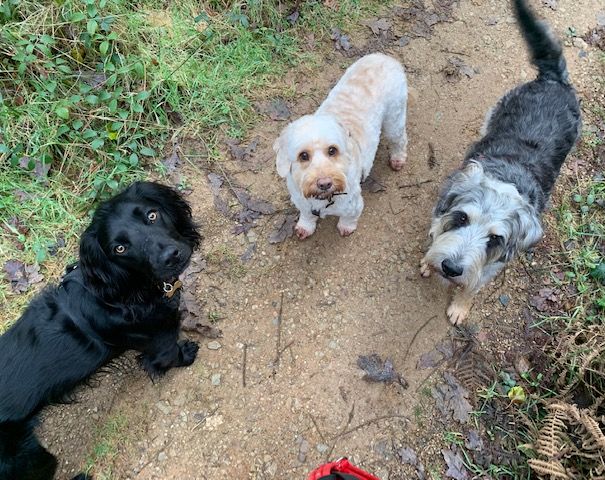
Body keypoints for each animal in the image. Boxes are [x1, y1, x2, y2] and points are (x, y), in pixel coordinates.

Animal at [0, 182, 203, 478]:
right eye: (119, 248)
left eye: (152, 215)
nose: (171, 256)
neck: (121, 292)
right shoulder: (160, 341)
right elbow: (168, 356)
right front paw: (186, 354)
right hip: (29, 457)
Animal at [274, 54, 408, 238]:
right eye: (303, 155)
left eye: (332, 150)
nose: (324, 183)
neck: (323, 199)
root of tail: (385, 57)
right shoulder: (301, 201)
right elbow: (307, 215)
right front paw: (305, 226)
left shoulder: (353, 204)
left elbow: (349, 218)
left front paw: (346, 227)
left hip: (394, 119)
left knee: (400, 140)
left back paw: (397, 159)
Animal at [420, 0, 580, 324]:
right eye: (462, 218)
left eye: (495, 239)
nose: (451, 268)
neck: (507, 180)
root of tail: (552, 80)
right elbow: (435, 232)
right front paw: (427, 261)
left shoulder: (492, 265)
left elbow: (472, 286)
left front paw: (460, 305)